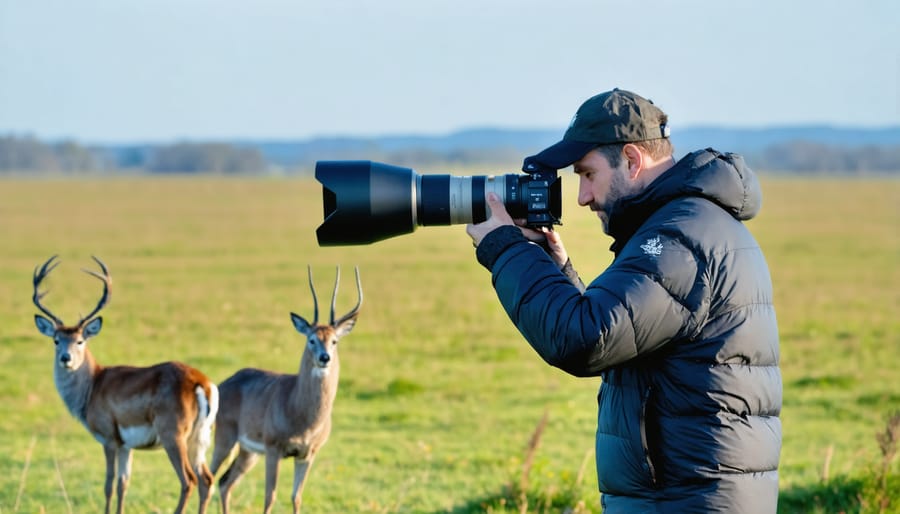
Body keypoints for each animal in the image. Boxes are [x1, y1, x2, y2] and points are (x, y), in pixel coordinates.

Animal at [32, 255, 219, 512]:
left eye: (80, 340)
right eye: (56, 340)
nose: (65, 358)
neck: (93, 385)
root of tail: (200, 382)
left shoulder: (109, 440)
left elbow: (109, 484)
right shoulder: (126, 446)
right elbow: (123, 484)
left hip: (174, 437)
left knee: (188, 480)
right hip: (199, 439)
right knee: (207, 480)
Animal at [211, 266, 362, 512]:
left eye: (334, 341)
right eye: (311, 339)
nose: (325, 358)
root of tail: (223, 384)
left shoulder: (307, 454)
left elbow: (296, 497)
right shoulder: (274, 449)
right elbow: (270, 496)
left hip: (248, 452)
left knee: (224, 483)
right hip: (225, 439)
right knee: (204, 478)